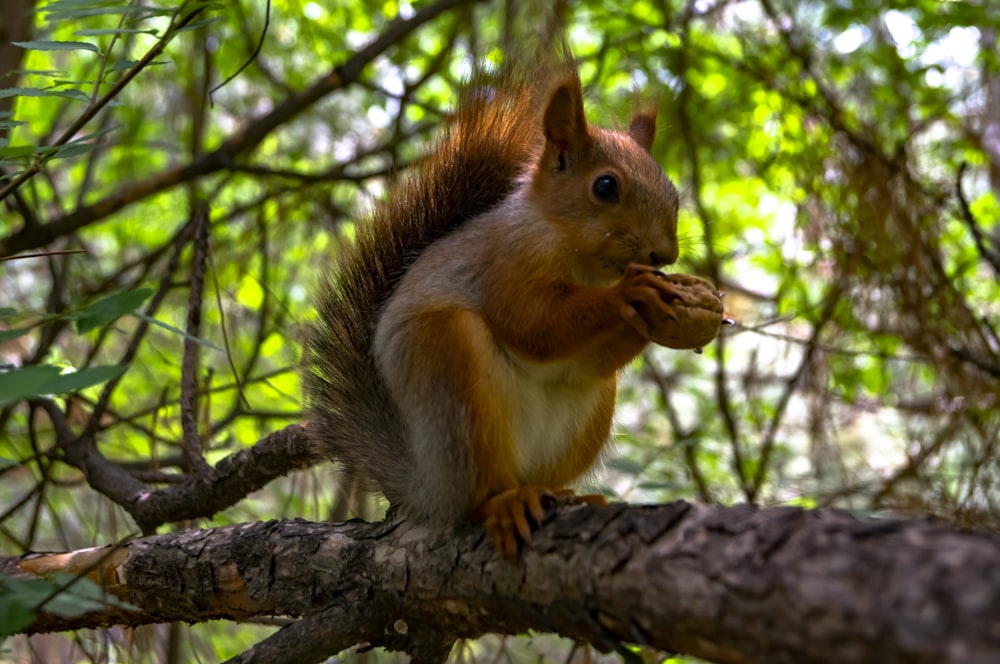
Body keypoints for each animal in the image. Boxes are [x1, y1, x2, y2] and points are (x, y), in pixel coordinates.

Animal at [300, 50, 724, 556]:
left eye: (673, 192)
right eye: (605, 186)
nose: (665, 254)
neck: (583, 261)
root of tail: (425, 490)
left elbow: (587, 356)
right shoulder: (502, 264)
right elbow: (533, 325)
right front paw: (630, 294)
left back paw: (564, 495)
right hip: (450, 377)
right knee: (480, 493)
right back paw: (505, 503)